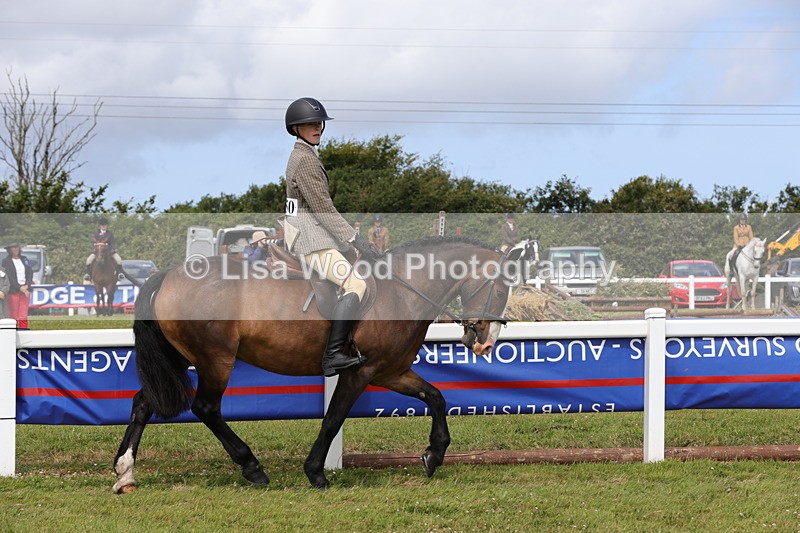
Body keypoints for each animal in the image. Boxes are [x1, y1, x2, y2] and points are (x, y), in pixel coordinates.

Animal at [112, 237, 527, 493]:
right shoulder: (359, 372)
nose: (485, 342)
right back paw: (252, 467)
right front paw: (315, 472)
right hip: (215, 359)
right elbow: (333, 418)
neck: (402, 290)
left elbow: (437, 397)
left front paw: (434, 455)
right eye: (501, 289)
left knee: (144, 402)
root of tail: (169, 274)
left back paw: (125, 471)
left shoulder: (391, 371)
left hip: (180, 356)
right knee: (206, 408)